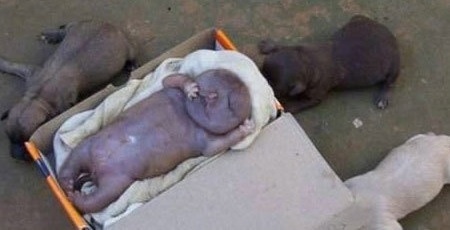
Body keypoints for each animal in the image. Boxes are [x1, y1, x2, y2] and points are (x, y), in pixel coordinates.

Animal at [0, 19, 135, 160]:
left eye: (27, 142)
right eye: (9, 137)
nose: (15, 156)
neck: (38, 96)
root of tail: (110, 25)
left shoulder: (64, 104)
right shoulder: (32, 73)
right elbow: (13, 66)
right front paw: (2, 63)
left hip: (128, 49)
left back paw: (131, 65)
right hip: (76, 27)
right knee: (66, 29)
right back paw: (51, 35)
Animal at [57, 68, 253, 214]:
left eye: (231, 105)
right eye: (216, 73)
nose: (211, 95)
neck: (190, 116)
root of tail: (96, 171)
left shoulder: (207, 139)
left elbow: (216, 146)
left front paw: (246, 128)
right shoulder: (173, 91)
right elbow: (171, 79)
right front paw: (191, 88)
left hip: (116, 182)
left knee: (97, 198)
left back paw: (74, 195)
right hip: (89, 146)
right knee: (74, 162)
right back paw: (67, 184)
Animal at [258, 14, 400, 113]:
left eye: (273, 87)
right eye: (261, 70)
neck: (307, 62)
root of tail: (390, 35)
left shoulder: (315, 97)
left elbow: (299, 104)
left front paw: (287, 107)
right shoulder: (299, 48)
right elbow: (286, 46)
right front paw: (269, 45)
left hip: (394, 65)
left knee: (389, 82)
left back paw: (382, 98)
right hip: (359, 19)